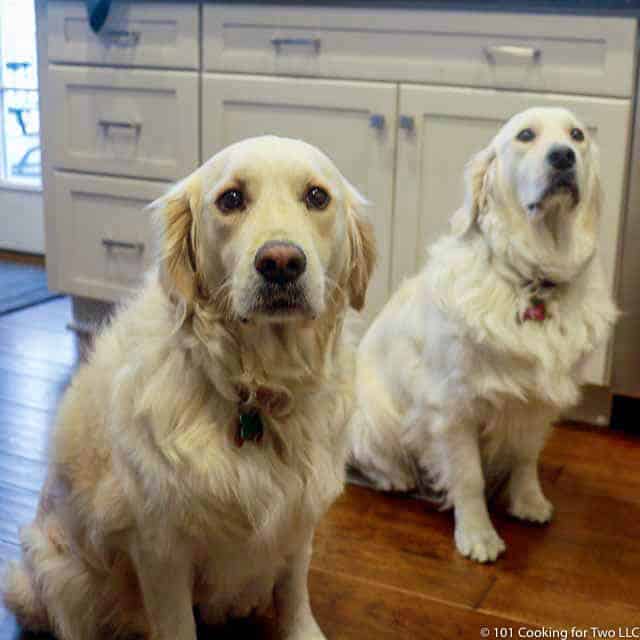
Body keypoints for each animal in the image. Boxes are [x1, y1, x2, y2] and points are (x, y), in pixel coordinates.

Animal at [2, 136, 376, 640]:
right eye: (231, 199)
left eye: (317, 197)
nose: (280, 263)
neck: (255, 389)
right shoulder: (160, 550)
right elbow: (177, 623)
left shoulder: (299, 518)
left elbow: (294, 594)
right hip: (59, 571)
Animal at [350, 107, 616, 564]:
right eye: (526, 135)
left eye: (577, 135)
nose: (562, 157)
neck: (532, 278)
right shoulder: (453, 405)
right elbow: (469, 477)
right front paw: (477, 534)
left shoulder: (537, 402)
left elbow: (526, 458)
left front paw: (528, 501)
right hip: (376, 416)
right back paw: (396, 477)